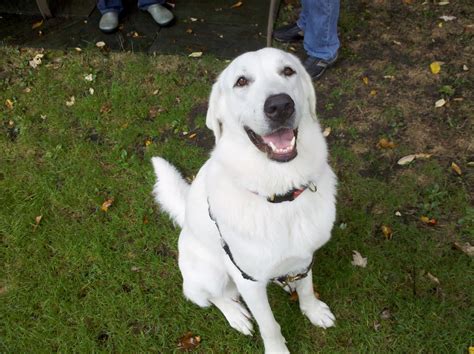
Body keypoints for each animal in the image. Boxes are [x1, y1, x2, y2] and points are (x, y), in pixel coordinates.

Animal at [153, 47, 336, 354]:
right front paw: (277, 350)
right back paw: (235, 314)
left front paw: (312, 310)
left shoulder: (305, 255)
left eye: (288, 71)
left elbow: (307, 287)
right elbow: (269, 325)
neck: (279, 196)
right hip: (212, 273)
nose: (280, 106)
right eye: (241, 81)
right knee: (207, 296)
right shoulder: (247, 280)